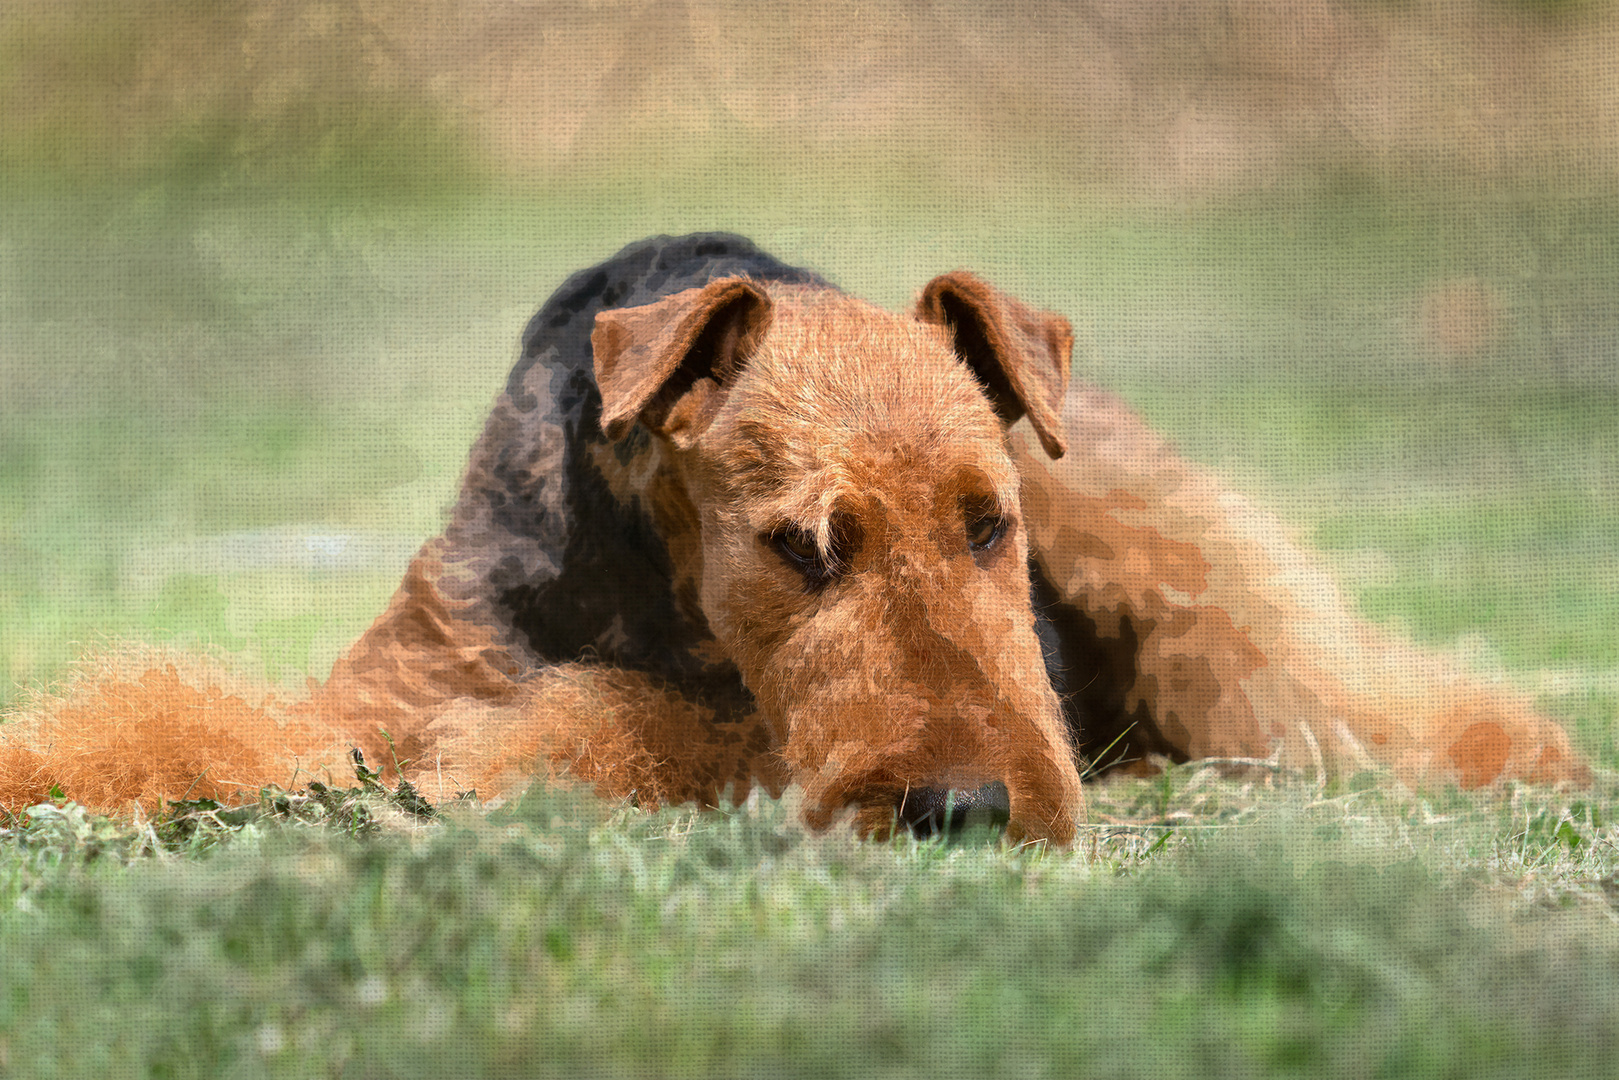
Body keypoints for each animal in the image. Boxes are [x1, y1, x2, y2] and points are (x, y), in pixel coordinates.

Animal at [305, 234, 1593, 841]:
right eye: (801, 543)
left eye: (986, 525)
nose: (965, 809)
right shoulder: (400, 679)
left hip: (1190, 586)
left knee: (1369, 697)